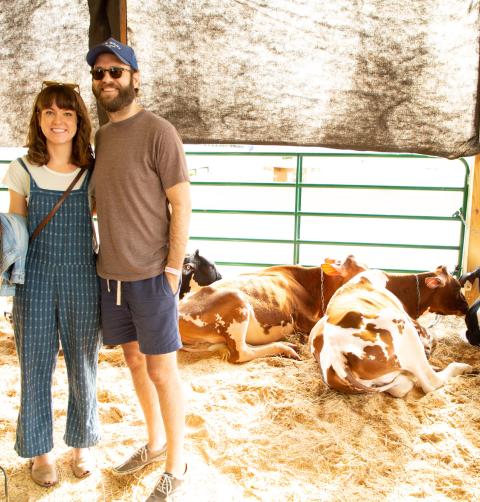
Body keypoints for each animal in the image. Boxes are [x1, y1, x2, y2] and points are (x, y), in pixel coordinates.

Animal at [310, 268, 470, 398]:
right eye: (457, 287)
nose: (467, 307)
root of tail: (336, 356)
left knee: (402, 386)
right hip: (404, 329)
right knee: (431, 382)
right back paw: (463, 367)